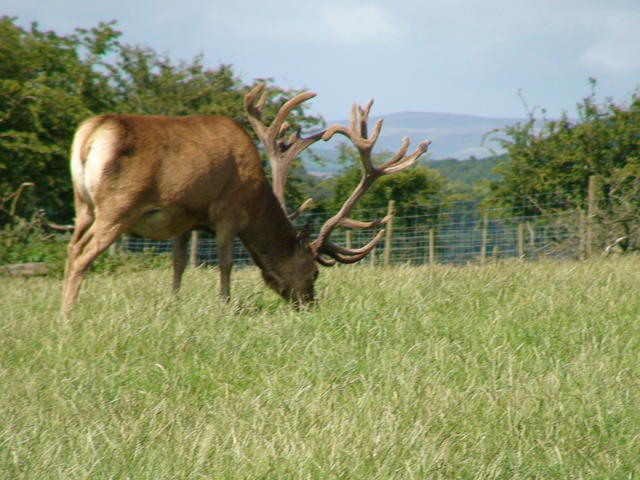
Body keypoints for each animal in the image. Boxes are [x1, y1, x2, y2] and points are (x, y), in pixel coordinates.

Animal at [61, 83, 430, 313]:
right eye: (314, 273)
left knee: (71, 246)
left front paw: (174, 304)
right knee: (81, 254)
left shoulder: (183, 216)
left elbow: (178, 263)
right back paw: (68, 315)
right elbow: (225, 262)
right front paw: (224, 307)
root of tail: (91, 132)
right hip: (118, 206)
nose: (309, 305)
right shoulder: (228, 208)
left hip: (83, 205)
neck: (256, 203)